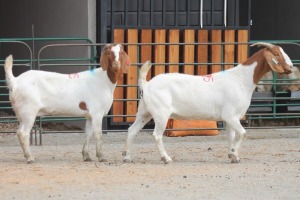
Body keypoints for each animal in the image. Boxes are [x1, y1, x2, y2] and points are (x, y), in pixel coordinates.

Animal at [122, 42, 292, 164]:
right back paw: (166, 158)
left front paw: (232, 155)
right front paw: (234, 154)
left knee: (131, 130)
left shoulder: (230, 118)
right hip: (161, 113)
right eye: (276, 54)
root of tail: (146, 85)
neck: (241, 79)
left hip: (144, 112)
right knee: (156, 135)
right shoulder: (231, 116)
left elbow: (231, 136)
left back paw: (127, 157)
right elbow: (243, 133)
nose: (290, 67)